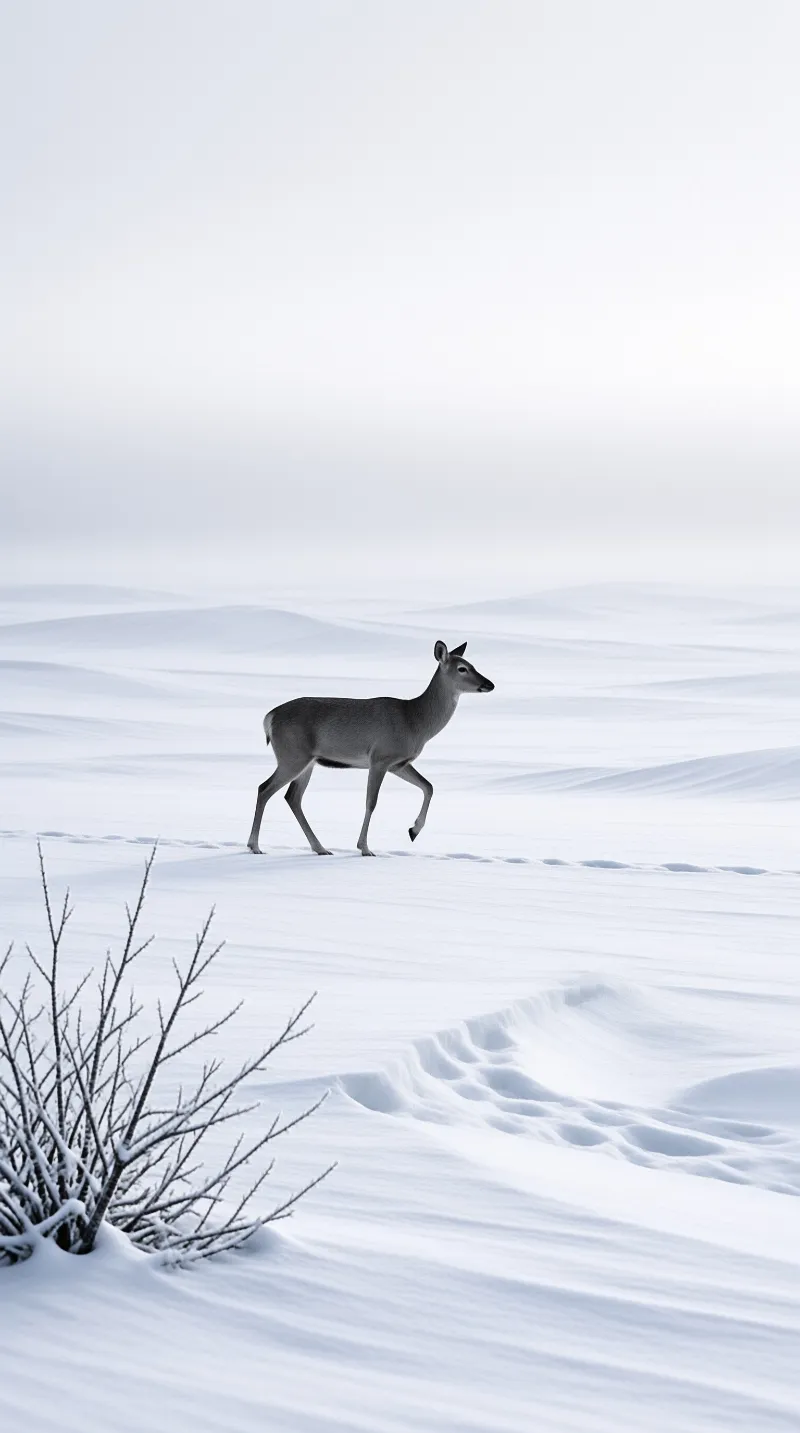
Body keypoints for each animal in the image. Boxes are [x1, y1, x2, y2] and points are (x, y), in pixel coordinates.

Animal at [247, 640, 494, 856]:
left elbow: (429, 786)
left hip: (308, 761)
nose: (489, 684)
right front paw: (365, 848)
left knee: (292, 797)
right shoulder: (380, 757)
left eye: (473, 664)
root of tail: (270, 717)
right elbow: (371, 802)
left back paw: (320, 848)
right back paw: (255, 846)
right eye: (462, 668)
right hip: (292, 755)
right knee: (264, 788)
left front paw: (413, 830)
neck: (415, 721)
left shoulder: (398, 764)